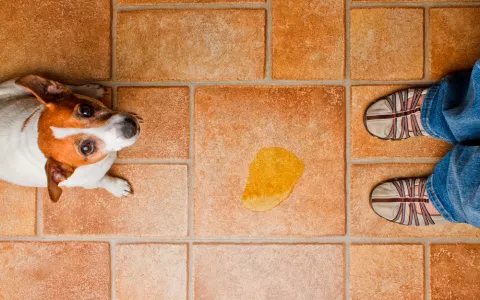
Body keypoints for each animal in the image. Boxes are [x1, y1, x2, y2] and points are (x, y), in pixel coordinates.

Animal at [0, 74, 142, 203]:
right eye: (86, 148)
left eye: (86, 110)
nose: (130, 126)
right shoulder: (91, 182)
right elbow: (104, 181)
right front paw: (117, 187)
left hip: (15, 85)